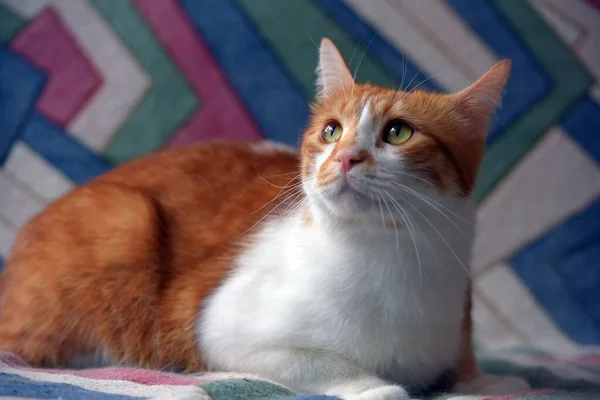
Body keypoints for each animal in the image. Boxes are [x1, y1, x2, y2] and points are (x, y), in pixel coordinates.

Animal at [0, 38, 524, 400]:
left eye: (398, 132)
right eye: (331, 131)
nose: (346, 158)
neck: (388, 255)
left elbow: (465, 368)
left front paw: (489, 380)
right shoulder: (221, 330)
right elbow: (323, 363)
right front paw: (377, 386)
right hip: (123, 220)